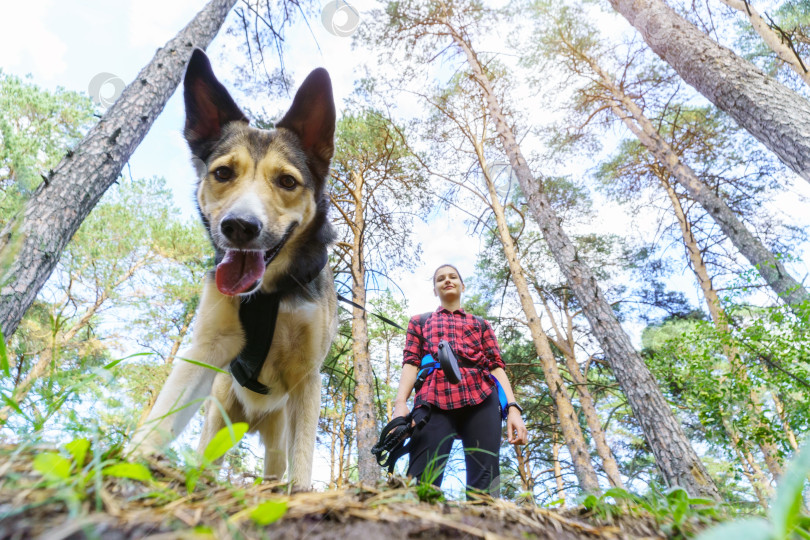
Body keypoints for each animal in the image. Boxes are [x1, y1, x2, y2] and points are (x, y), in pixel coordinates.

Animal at [129, 51, 334, 490]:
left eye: (287, 181)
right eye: (223, 173)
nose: (239, 226)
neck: (268, 293)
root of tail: (253, 421)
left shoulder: (307, 377)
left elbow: (303, 459)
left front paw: (301, 494)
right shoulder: (207, 349)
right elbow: (161, 416)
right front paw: (122, 462)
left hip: (277, 434)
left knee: (277, 463)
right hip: (219, 414)